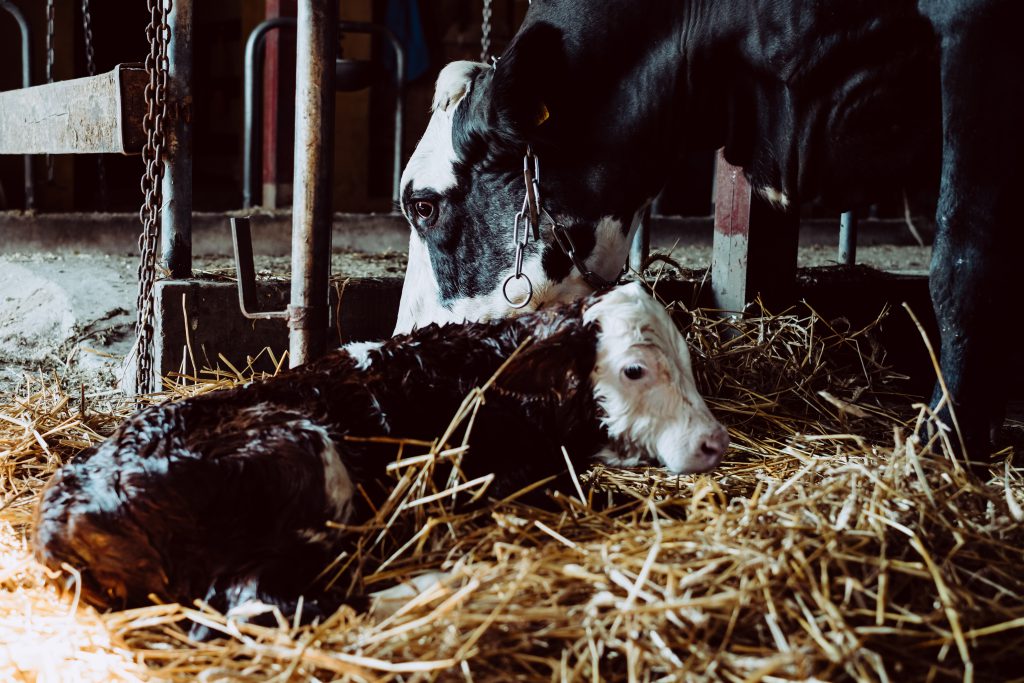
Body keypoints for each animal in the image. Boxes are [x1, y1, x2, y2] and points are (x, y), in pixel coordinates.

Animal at [29, 282, 720, 618]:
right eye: (635, 369)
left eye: (689, 363)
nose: (715, 441)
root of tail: (69, 508)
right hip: (303, 455)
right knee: (258, 606)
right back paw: (438, 586)